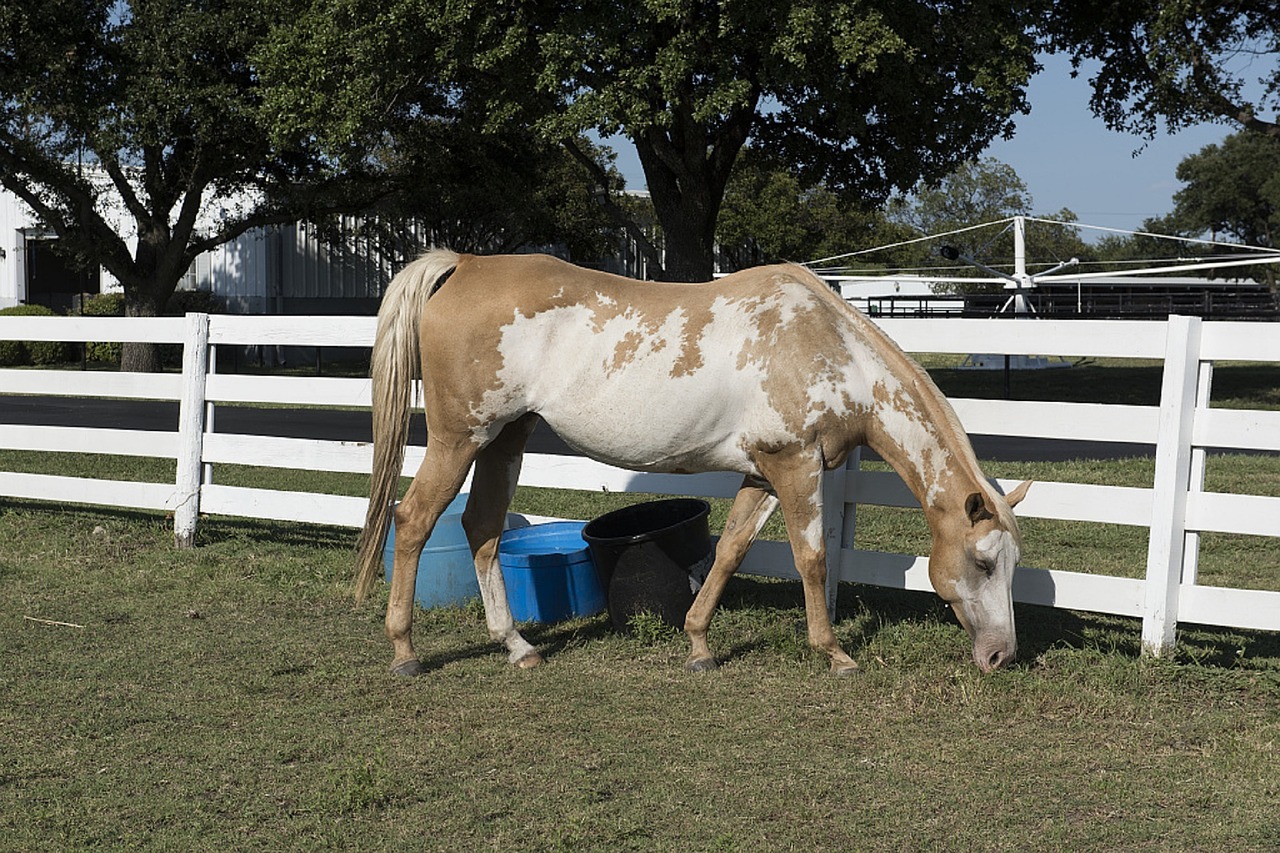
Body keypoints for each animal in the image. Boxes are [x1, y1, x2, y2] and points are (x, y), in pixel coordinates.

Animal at [355, 249, 1034, 676]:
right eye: (981, 562)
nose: (1002, 657)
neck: (829, 347)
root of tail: (463, 265)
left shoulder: (763, 472)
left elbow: (729, 550)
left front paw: (699, 643)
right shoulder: (796, 466)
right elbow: (811, 560)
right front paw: (834, 654)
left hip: (505, 439)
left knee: (484, 529)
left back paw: (518, 647)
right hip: (459, 439)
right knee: (412, 521)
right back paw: (405, 652)